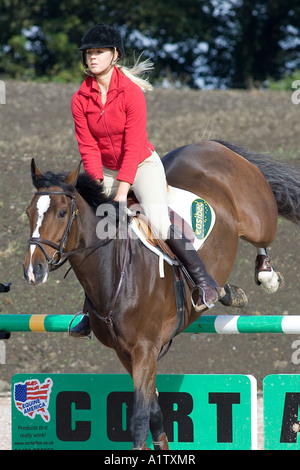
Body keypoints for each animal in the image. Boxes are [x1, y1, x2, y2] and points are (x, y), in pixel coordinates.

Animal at [22, 141, 300, 450]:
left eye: (61, 213)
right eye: (29, 213)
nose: (33, 270)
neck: (116, 270)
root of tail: (211, 144)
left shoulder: (145, 350)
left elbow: (140, 420)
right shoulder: (125, 353)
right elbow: (155, 416)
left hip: (258, 220)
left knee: (264, 237)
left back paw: (266, 274)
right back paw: (226, 292)